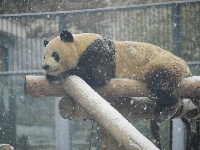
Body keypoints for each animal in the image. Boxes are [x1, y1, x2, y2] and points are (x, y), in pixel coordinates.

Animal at [42, 29, 192, 122]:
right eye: (44, 56)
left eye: (55, 55)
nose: (45, 66)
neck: (80, 45)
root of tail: (185, 67)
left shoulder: (99, 52)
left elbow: (98, 75)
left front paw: (57, 76)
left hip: (162, 64)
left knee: (161, 82)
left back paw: (164, 111)